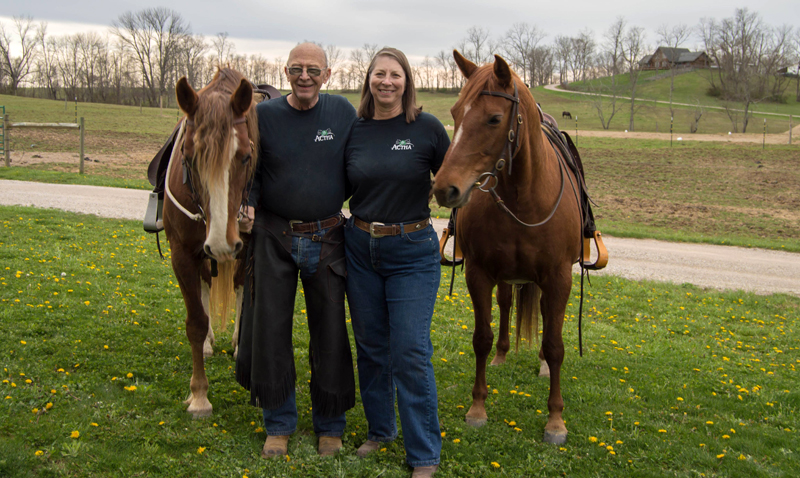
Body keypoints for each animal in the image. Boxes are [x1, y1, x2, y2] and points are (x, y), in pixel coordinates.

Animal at [163, 68, 260, 418]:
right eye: (189, 158)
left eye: (246, 156)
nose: (221, 243)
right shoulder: (182, 253)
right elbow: (195, 322)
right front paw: (199, 395)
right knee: (205, 284)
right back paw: (208, 342)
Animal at [434, 52, 584, 444]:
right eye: (455, 112)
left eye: (494, 118)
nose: (444, 188)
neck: (525, 198)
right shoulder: (479, 273)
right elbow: (482, 337)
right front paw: (477, 408)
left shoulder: (559, 278)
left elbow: (556, 345)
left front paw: (555, 420)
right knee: (505, 304)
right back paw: (502, 356)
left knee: (544, 318)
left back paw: (543, 366)